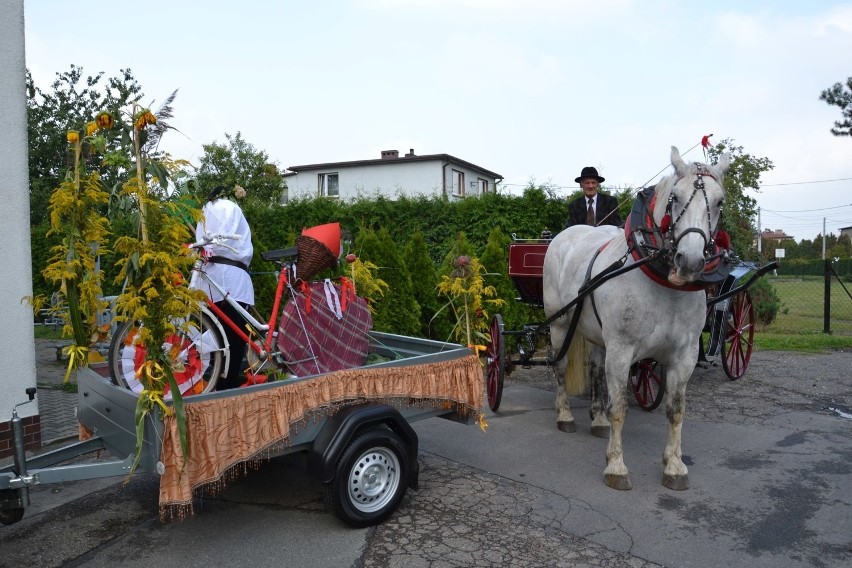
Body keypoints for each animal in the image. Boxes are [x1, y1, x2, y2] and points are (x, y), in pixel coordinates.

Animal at [544, 148, 732, 492]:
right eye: (674, 197)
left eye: (719, 201)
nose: (691, 261)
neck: (665, 285)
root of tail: (564, 236)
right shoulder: (622, 350)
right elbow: (620, 407)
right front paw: (616, 466)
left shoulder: (685, 355)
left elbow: (675, 410)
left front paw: (674, 466)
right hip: (560, 324)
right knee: (560, 366)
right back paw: (565, 416)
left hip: (596, 333)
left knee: (595, 369)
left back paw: (597, 420)